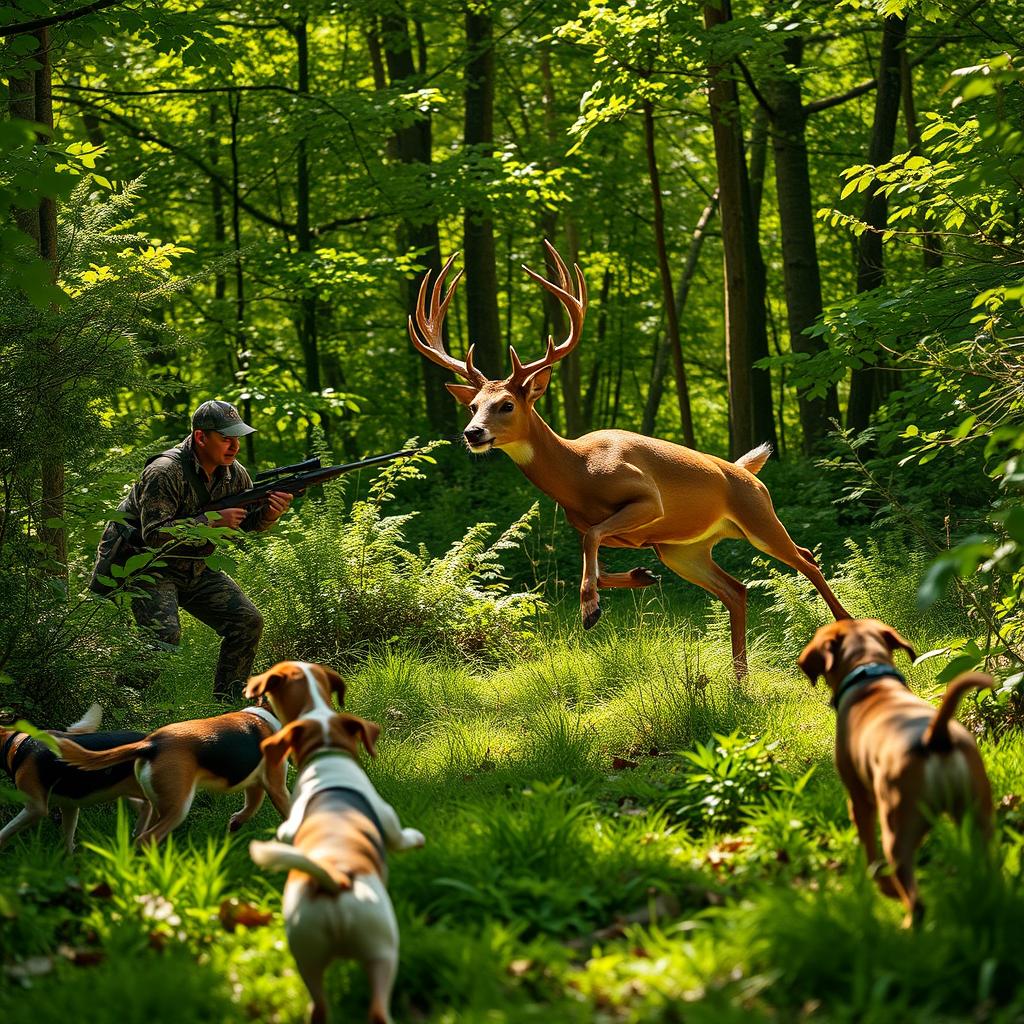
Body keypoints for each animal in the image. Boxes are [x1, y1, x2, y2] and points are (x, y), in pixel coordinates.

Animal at [408, 241, 851, 677]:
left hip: (758, 516)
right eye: (473, 407)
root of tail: (745, 472)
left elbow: (591, 539)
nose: (473, 433)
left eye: (506, 405)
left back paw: (844, 628)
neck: (579, 472)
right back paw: (739, 677)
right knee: (736, 590)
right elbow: (596, 555)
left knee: (807, 559)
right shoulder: (622, 531)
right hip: (683, 549)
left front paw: (589, 609)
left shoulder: (647, 498)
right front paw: (638, 578)